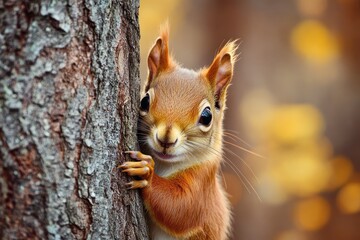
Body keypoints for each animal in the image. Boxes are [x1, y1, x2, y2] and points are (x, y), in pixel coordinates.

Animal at [121, 25, 238, 239]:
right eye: (144, 101)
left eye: (206, 117)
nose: (165, 139)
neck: (163, 164)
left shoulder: (202, 184)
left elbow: (181, 209)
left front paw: (145, 173)